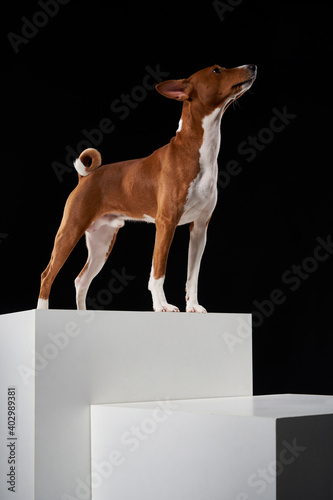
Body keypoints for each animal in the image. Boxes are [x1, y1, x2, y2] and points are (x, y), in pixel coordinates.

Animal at [38, 63, 256, 312]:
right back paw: (42, 310)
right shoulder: (166, 223)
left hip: (102, 242)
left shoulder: (200, 227)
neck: (195, 151)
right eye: (217, 70)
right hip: (70, 231)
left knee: (81, 280)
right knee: (47, 275)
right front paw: (162, 306)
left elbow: (192, 276)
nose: (251, 65)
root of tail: (84, 178)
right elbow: (158, 272)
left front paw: (193, 306)